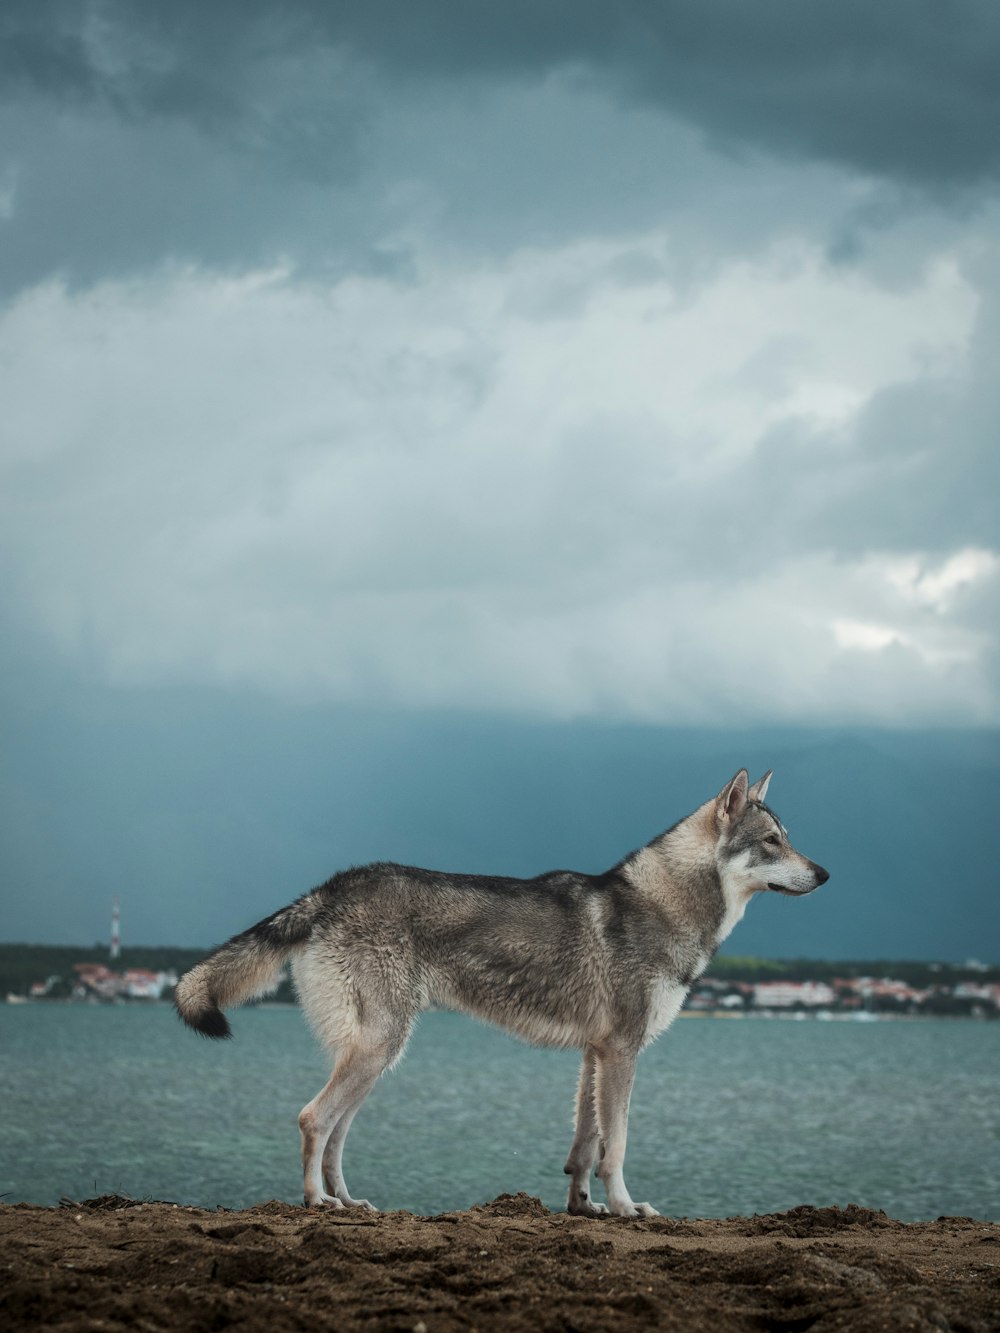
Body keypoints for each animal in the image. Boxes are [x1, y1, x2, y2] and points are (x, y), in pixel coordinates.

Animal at [178, 773, 832, 1221]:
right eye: (772, 842)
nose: (826, 874)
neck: (666, 905)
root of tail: (333, 885)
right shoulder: (622, 1052)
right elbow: (616, 1145)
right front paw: (626, 1209)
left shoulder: (595, 1055)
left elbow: (585, 1145)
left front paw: (585, 1208)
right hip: (377, 1050)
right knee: (313, 1118)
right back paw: (318, 1203)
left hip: (379, 1057)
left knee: (336, 1131)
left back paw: (351, 1201)